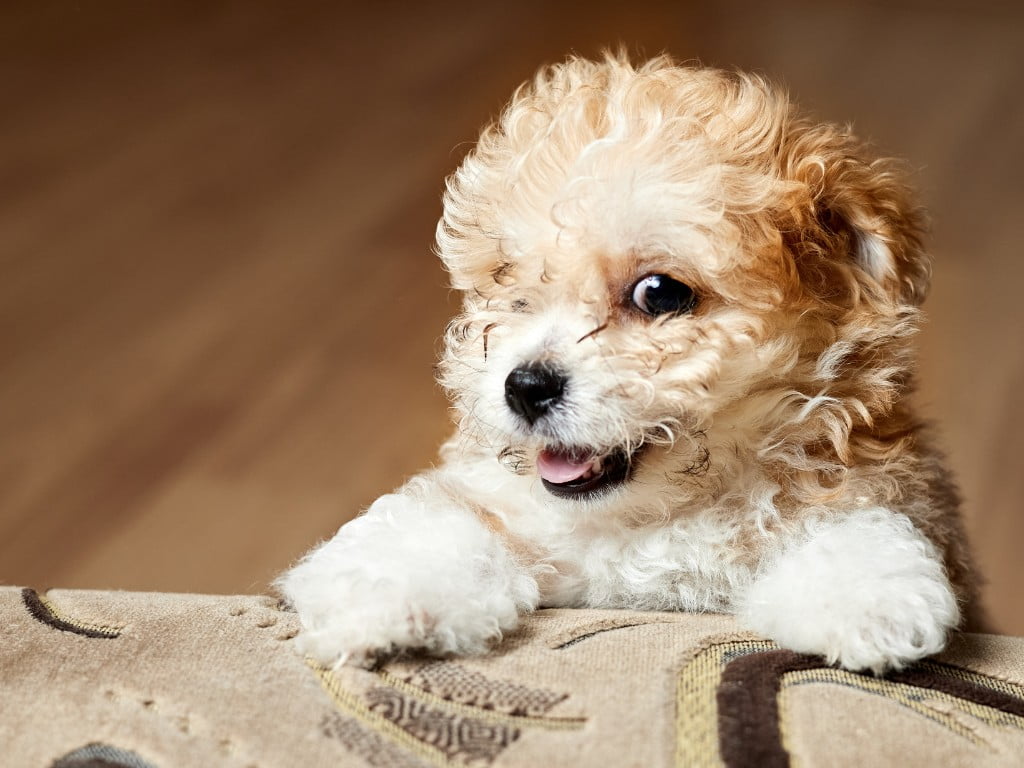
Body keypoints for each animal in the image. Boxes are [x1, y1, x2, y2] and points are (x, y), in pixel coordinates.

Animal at [276, 52, 978, 671]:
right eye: (510, 285)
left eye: (659, 293)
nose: (523, 386)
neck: (653, 518)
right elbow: (444, 521)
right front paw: (382, 595)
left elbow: (853, 519)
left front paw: (865, 598)